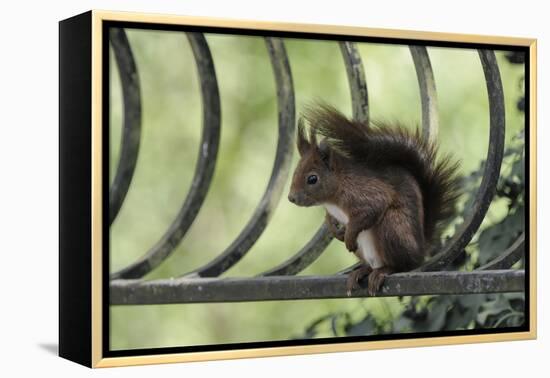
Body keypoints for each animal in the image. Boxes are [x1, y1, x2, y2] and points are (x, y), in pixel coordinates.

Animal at [288, 103, 462, 296]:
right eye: (294, 173)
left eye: (312, 179)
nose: (291, 198)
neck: (333, 197)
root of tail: (420, 250)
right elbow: (329, 218)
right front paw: (334, 229)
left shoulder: (366, 192)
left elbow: (372, 209)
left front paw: (348, 235)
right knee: (372, 266)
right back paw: (361, 272)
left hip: (392, 228)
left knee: (401, 265)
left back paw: (383, 271)